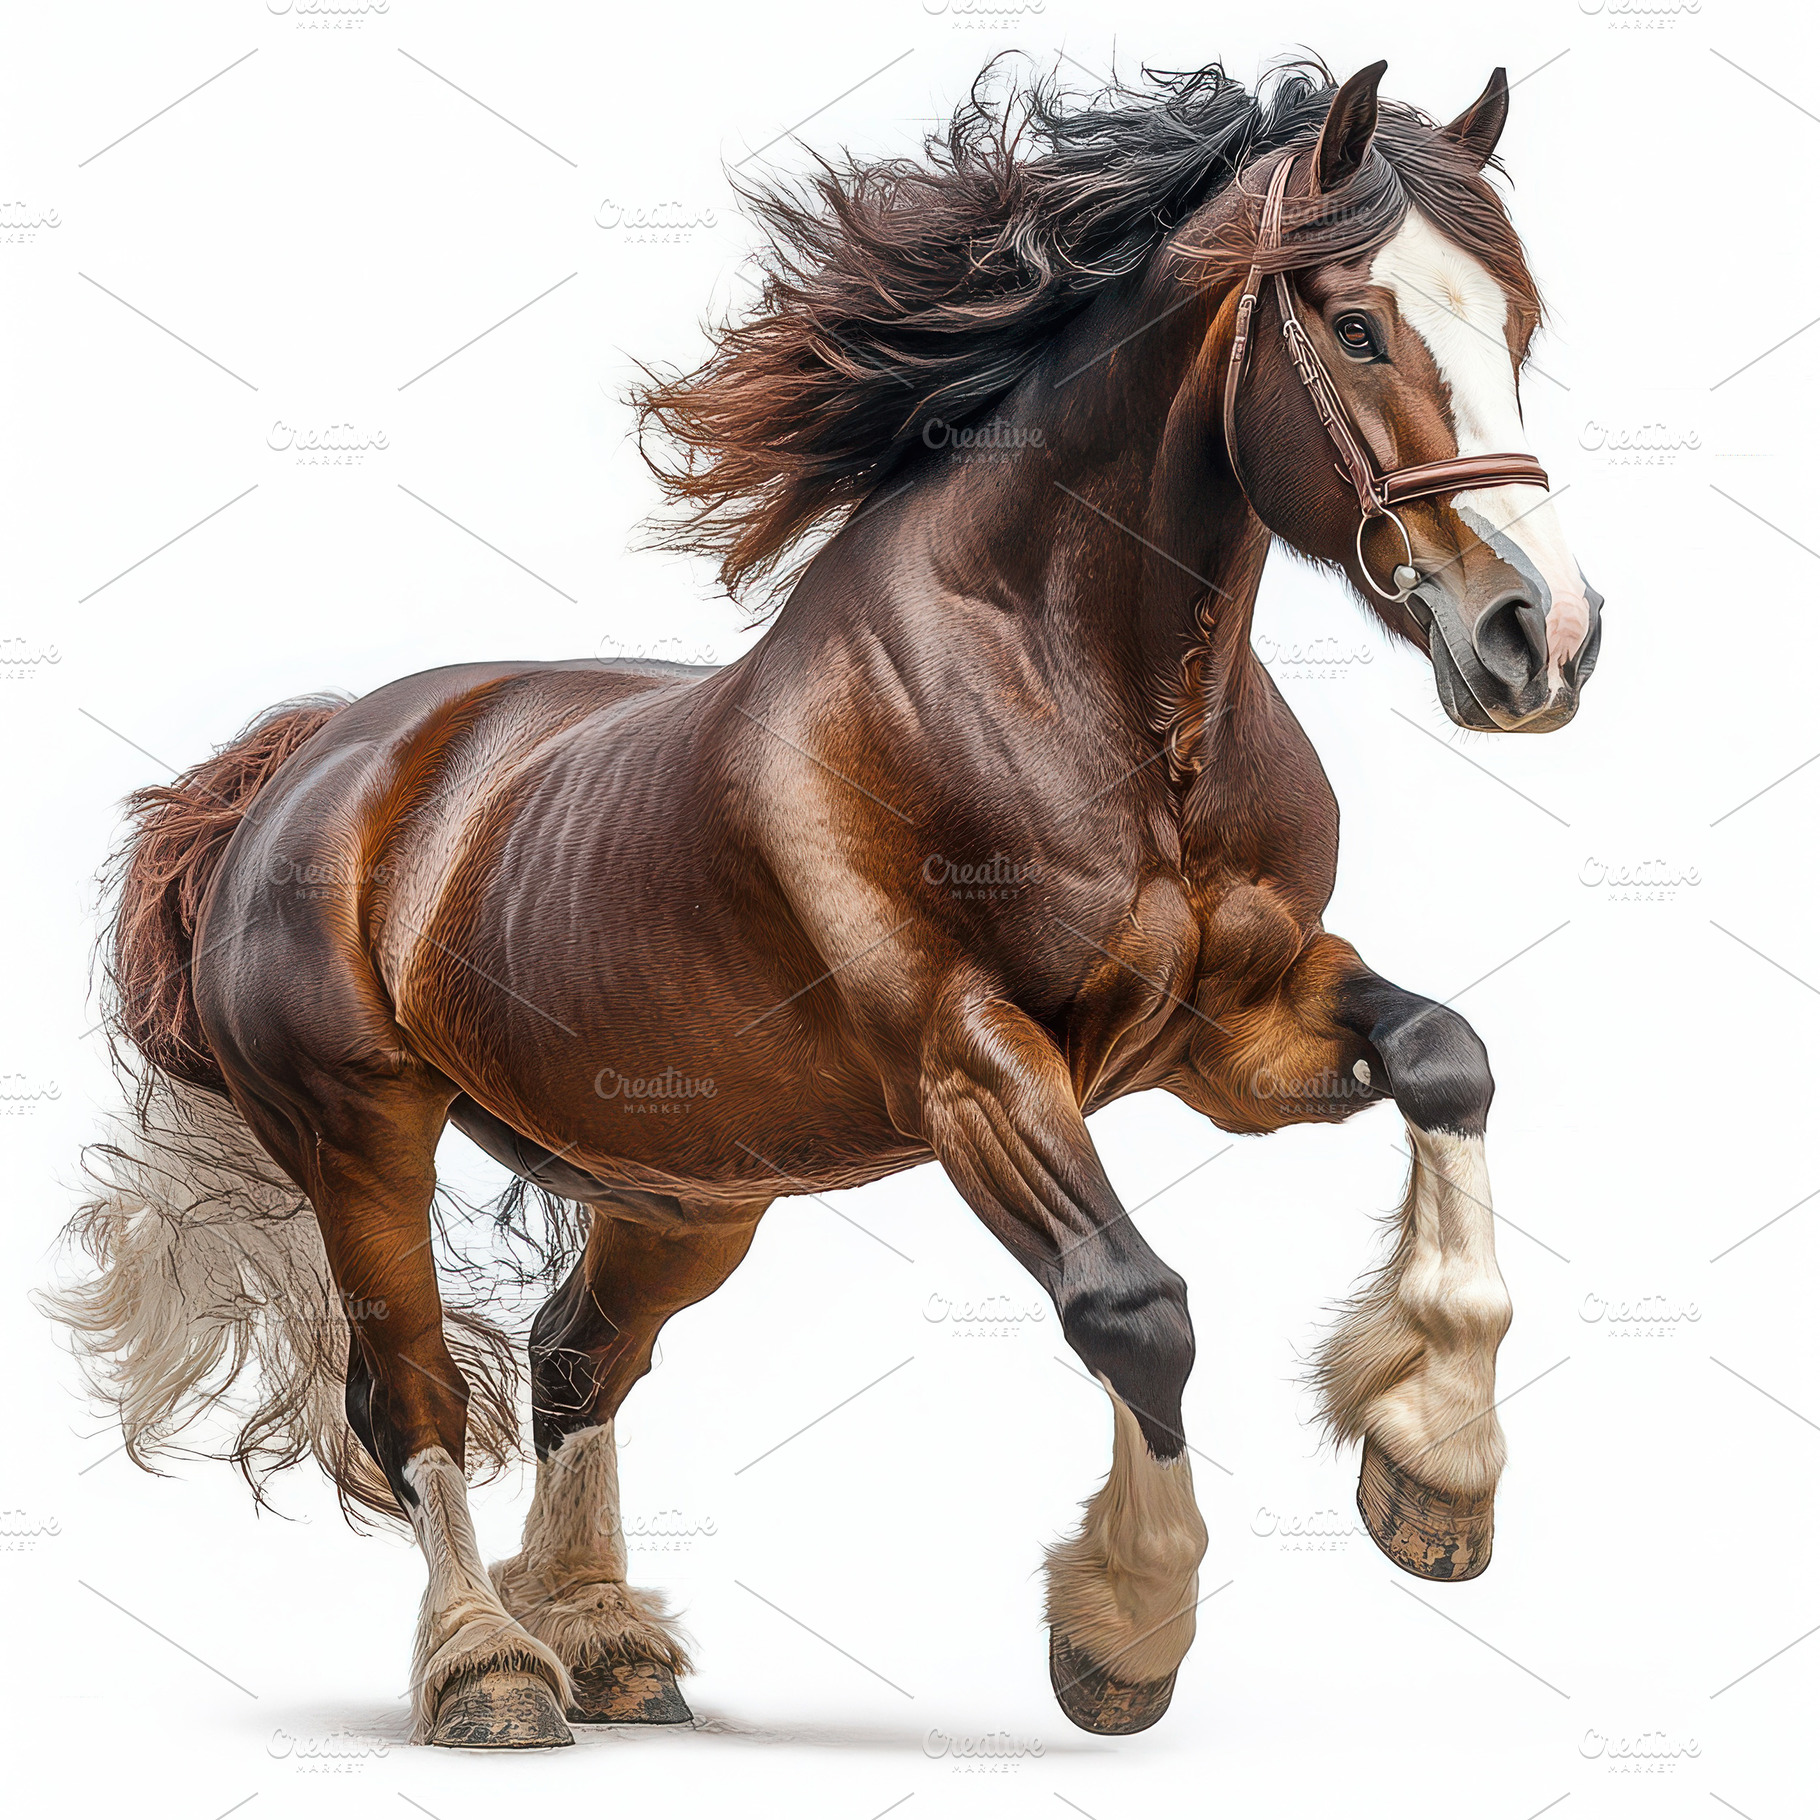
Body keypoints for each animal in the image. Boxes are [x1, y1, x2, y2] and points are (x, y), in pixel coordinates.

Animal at [51, 58, 1602, 1748]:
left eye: (1519, 322)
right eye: (1360, 324)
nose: (1542, 639)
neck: (1087, 695)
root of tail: (316, 753)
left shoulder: (1237, 1036)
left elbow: (1447, 1057)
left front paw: (1435, 1471)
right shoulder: (972, 1066)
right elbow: (1137, 1305)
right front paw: (1125, 1629)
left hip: (690, 1188)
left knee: (574, 1364)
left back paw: (607, 1643)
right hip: (362, 1135)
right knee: (415, 1397)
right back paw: (492, 1671)